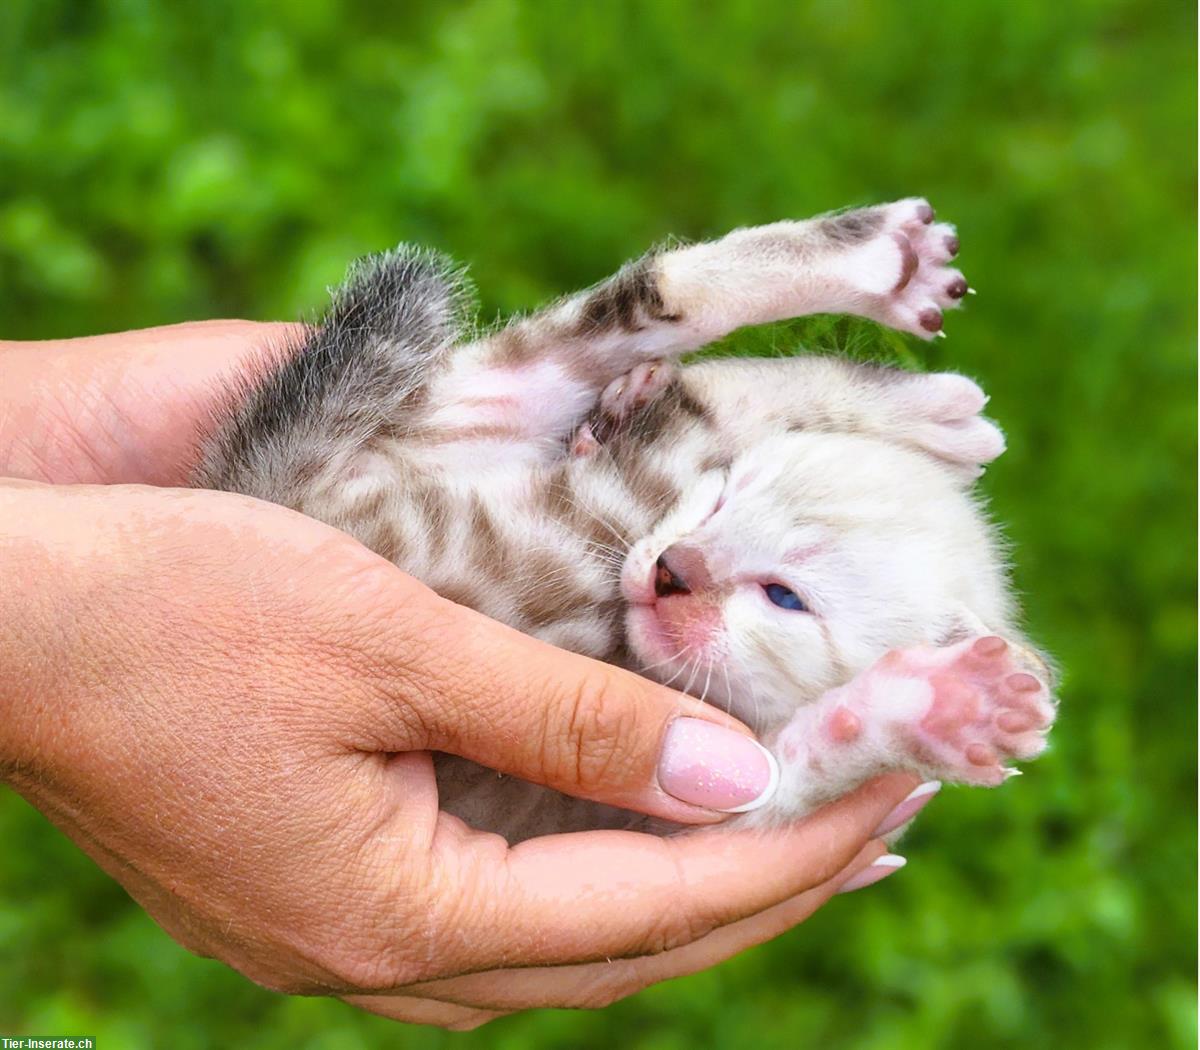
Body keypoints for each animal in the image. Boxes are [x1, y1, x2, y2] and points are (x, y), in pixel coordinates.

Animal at [192, 199, 1056, 844]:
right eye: (721, 499)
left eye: (785, 598)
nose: (675, 574)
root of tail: (253, 490)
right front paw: (961, 701)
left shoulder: (708, 806)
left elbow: (824, 747)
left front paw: (948, 705)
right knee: (683, 341)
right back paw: (897, 315)